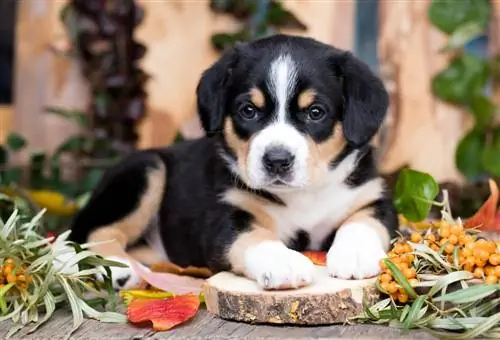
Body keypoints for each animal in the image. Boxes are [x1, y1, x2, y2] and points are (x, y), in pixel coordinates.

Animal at [69, 33, 398, 290]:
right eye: (248, 111)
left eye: (315, 112)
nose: (277, 160)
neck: (302, 195)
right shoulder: (223, 218)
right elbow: (254, 236)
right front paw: (284, 263)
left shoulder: (373, 198)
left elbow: (363, 222)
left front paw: (354, 254)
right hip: (146, 169)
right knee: (91, 230)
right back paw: (121, 269)